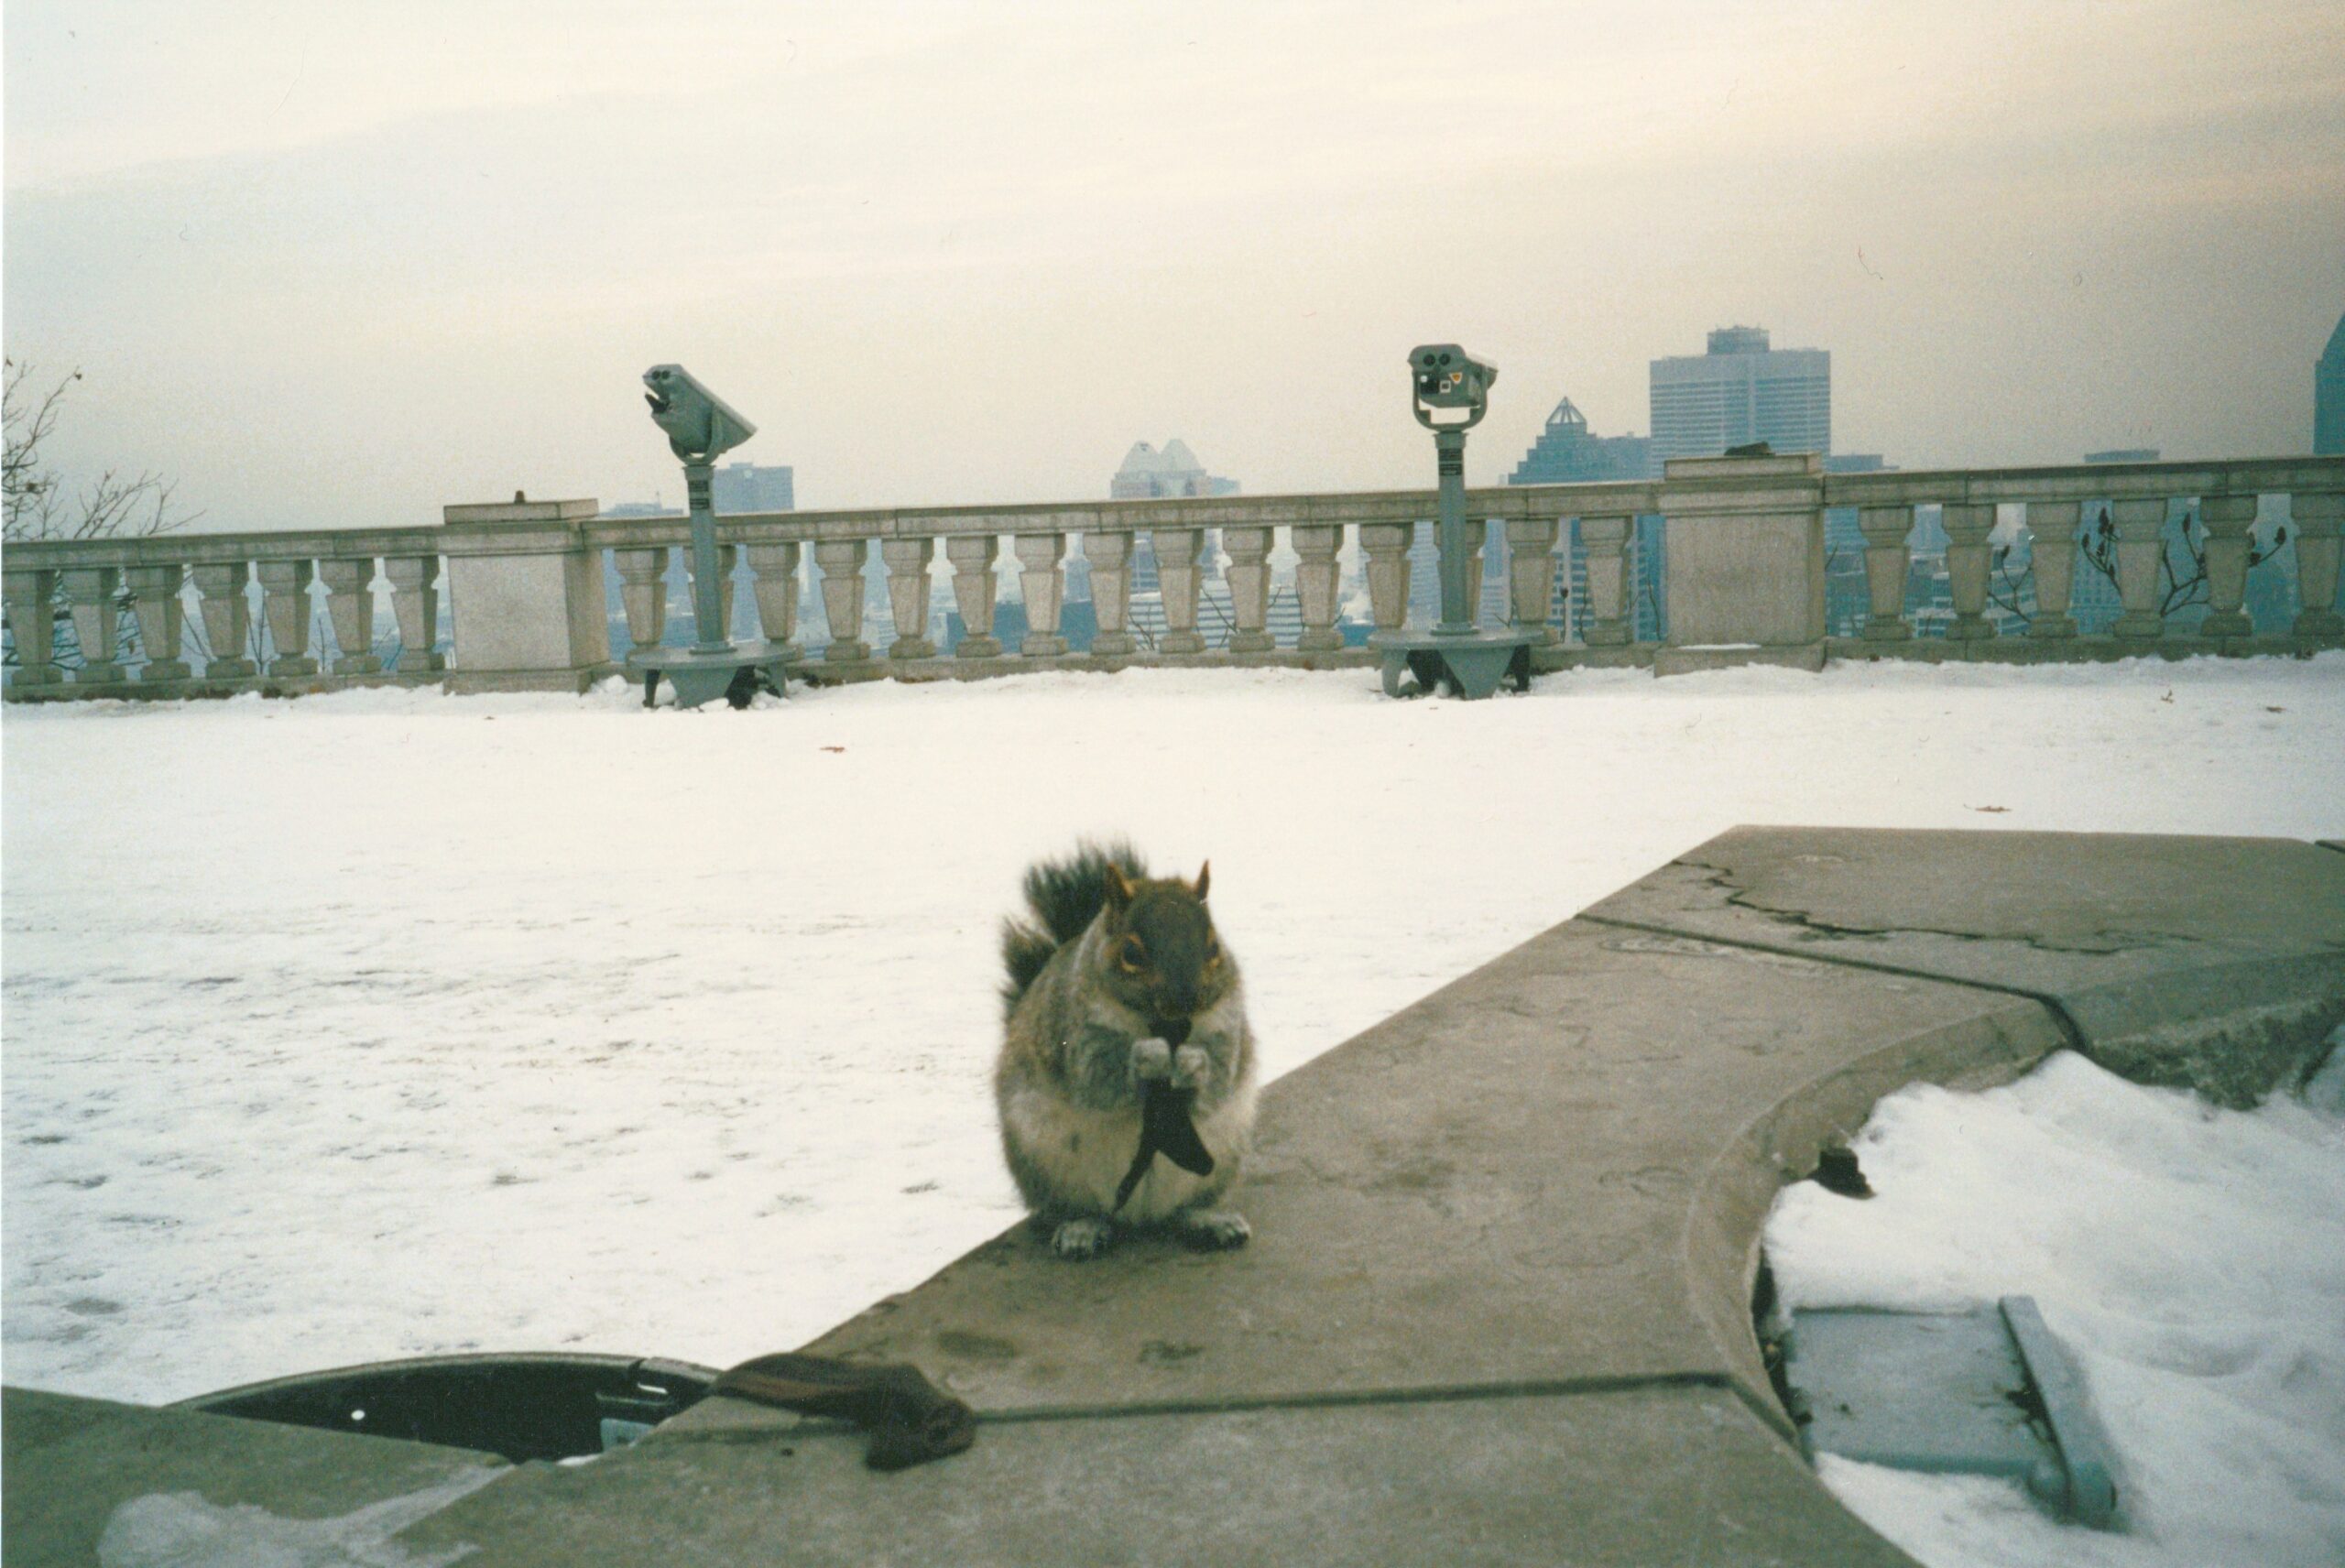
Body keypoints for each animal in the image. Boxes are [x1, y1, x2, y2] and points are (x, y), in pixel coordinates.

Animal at [995, 841, 1258, 1259]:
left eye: (1214, 947)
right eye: (1131, 955)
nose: (1185, 1002)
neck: (1161, 1026)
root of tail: (1142, 1217)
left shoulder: (1226, 1024)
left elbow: (1218, 1078)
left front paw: (1194, 1064)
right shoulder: (1077, 1033)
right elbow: (1098, 1082)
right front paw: (1147, 1057)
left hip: (1220, 1160)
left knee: (1182, 1210)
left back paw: (1209, 1220)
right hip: (1045, 1165)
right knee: (1074, 1209)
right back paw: (1082, 1228)